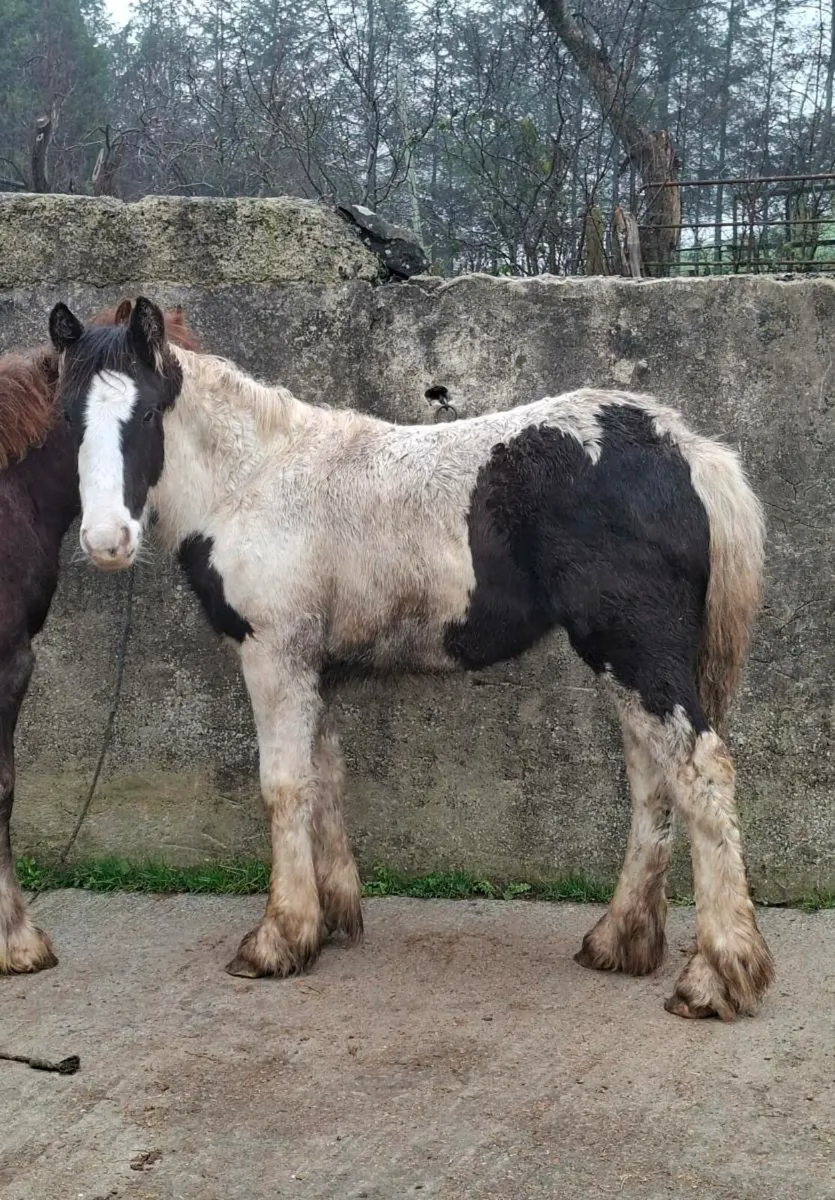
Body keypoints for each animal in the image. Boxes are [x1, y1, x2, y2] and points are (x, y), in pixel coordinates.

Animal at [48, 295, 774, 1021]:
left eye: (146, 414)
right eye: (66, 418)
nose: (107, 540)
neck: (253, 480)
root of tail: (684, 448)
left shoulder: (274, 657)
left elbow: (283, 787)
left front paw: (278, 938)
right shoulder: (315, 670)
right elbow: (324, 779)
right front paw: (330, 919)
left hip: (634, 651)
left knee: (699, 770)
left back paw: (715, 976)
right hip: (627, 662)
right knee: (652, 778)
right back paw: (621, 941)